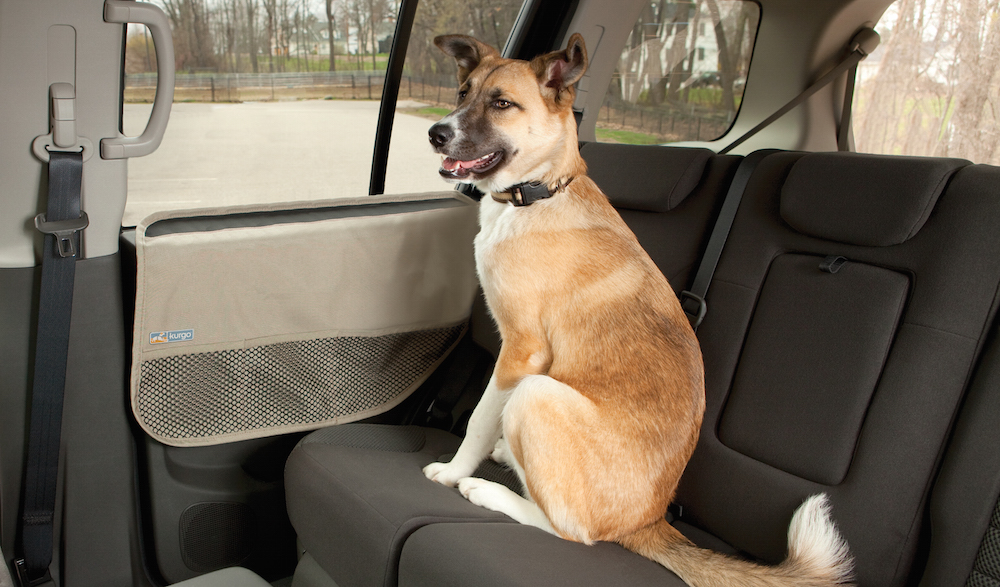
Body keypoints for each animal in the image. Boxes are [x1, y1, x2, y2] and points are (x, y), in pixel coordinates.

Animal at [420, 33, 852, 587]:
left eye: (501, 104)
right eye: (462, 92)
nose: (436, 134)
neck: (538, 196)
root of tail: (648, 520)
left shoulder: (521, 353)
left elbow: (477, 420)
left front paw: (453, 471)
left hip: (538, 393)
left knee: (571, 529)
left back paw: (488, 490)